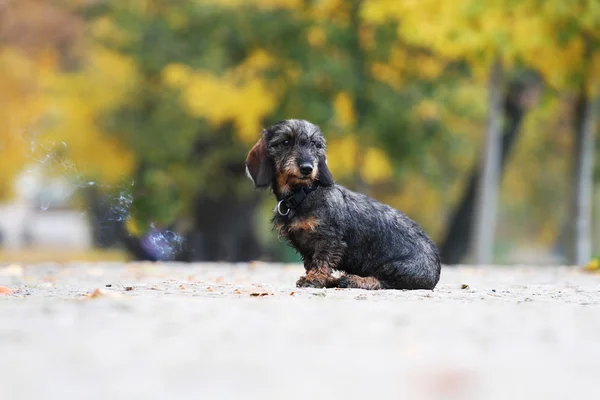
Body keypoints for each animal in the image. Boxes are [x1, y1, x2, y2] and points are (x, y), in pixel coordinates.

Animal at [244, 119, 440, 290]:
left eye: (315, 144)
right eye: (285, 142)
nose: (307, 168)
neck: (303, 193)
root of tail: (436, 271)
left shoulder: (329, 239)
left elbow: (322, 260)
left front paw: (315, 279)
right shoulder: (306, 247)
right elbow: (311, 262)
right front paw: (317, 278)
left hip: (395, 268)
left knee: (381, 282)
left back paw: (353, 280)